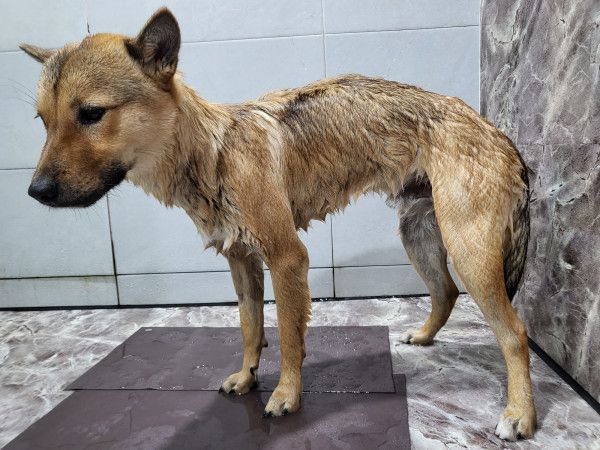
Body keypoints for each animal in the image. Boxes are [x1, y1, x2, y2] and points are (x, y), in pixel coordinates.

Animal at [20, 8, 536, 441]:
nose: (35, 192)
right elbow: (250, 327)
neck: (214, 153)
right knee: (445, 293)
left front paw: (286, 395)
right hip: (420, 237)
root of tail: (501, 134)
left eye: (91, 114)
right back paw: (426, 338)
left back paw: (520, 415)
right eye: (42, 121)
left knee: (514, 332)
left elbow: (289, 337)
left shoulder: (288, 258)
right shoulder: (241, 261)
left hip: (467, 249)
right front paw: (246, 376)